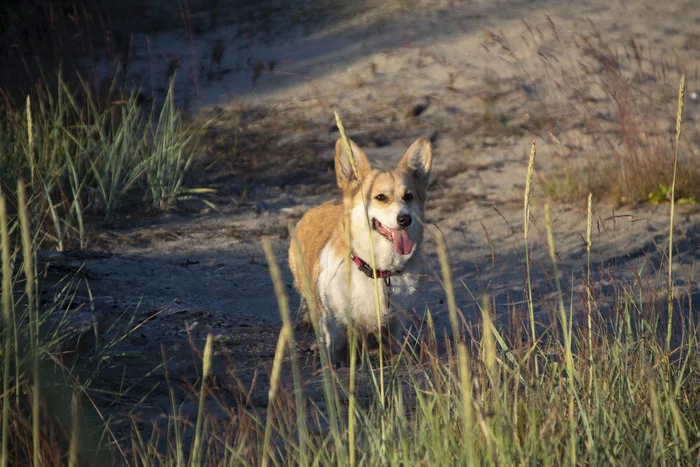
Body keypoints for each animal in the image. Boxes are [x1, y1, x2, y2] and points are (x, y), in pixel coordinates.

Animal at [288, 137, 432, 360]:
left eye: (408, 196)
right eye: (381, 197)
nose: (405, 219)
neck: (377, 270)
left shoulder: (395, 324)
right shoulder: (333, 324)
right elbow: (333, 350)